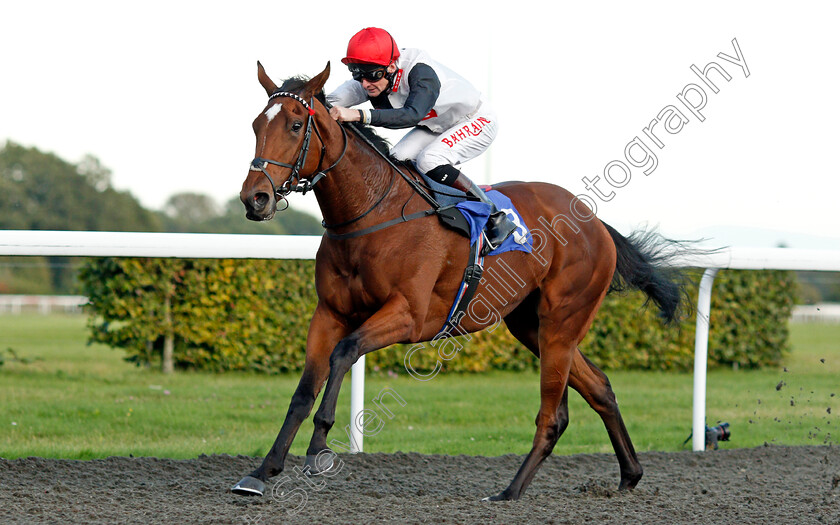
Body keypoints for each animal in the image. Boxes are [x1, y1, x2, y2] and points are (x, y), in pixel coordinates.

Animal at [231, 62, 688, 500]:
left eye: (295, 125)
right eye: (255, 125)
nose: (255, 198)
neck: (371, 214)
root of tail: (595, 222)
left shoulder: (410, 315)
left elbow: (344, 354)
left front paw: (318, 450)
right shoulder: (329, 313)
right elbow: (303, 392)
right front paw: (262, 472)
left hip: (562, 322)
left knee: (552, 414)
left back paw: (509, 492)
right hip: (532, 325)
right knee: (600, 388)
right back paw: (629, 475)